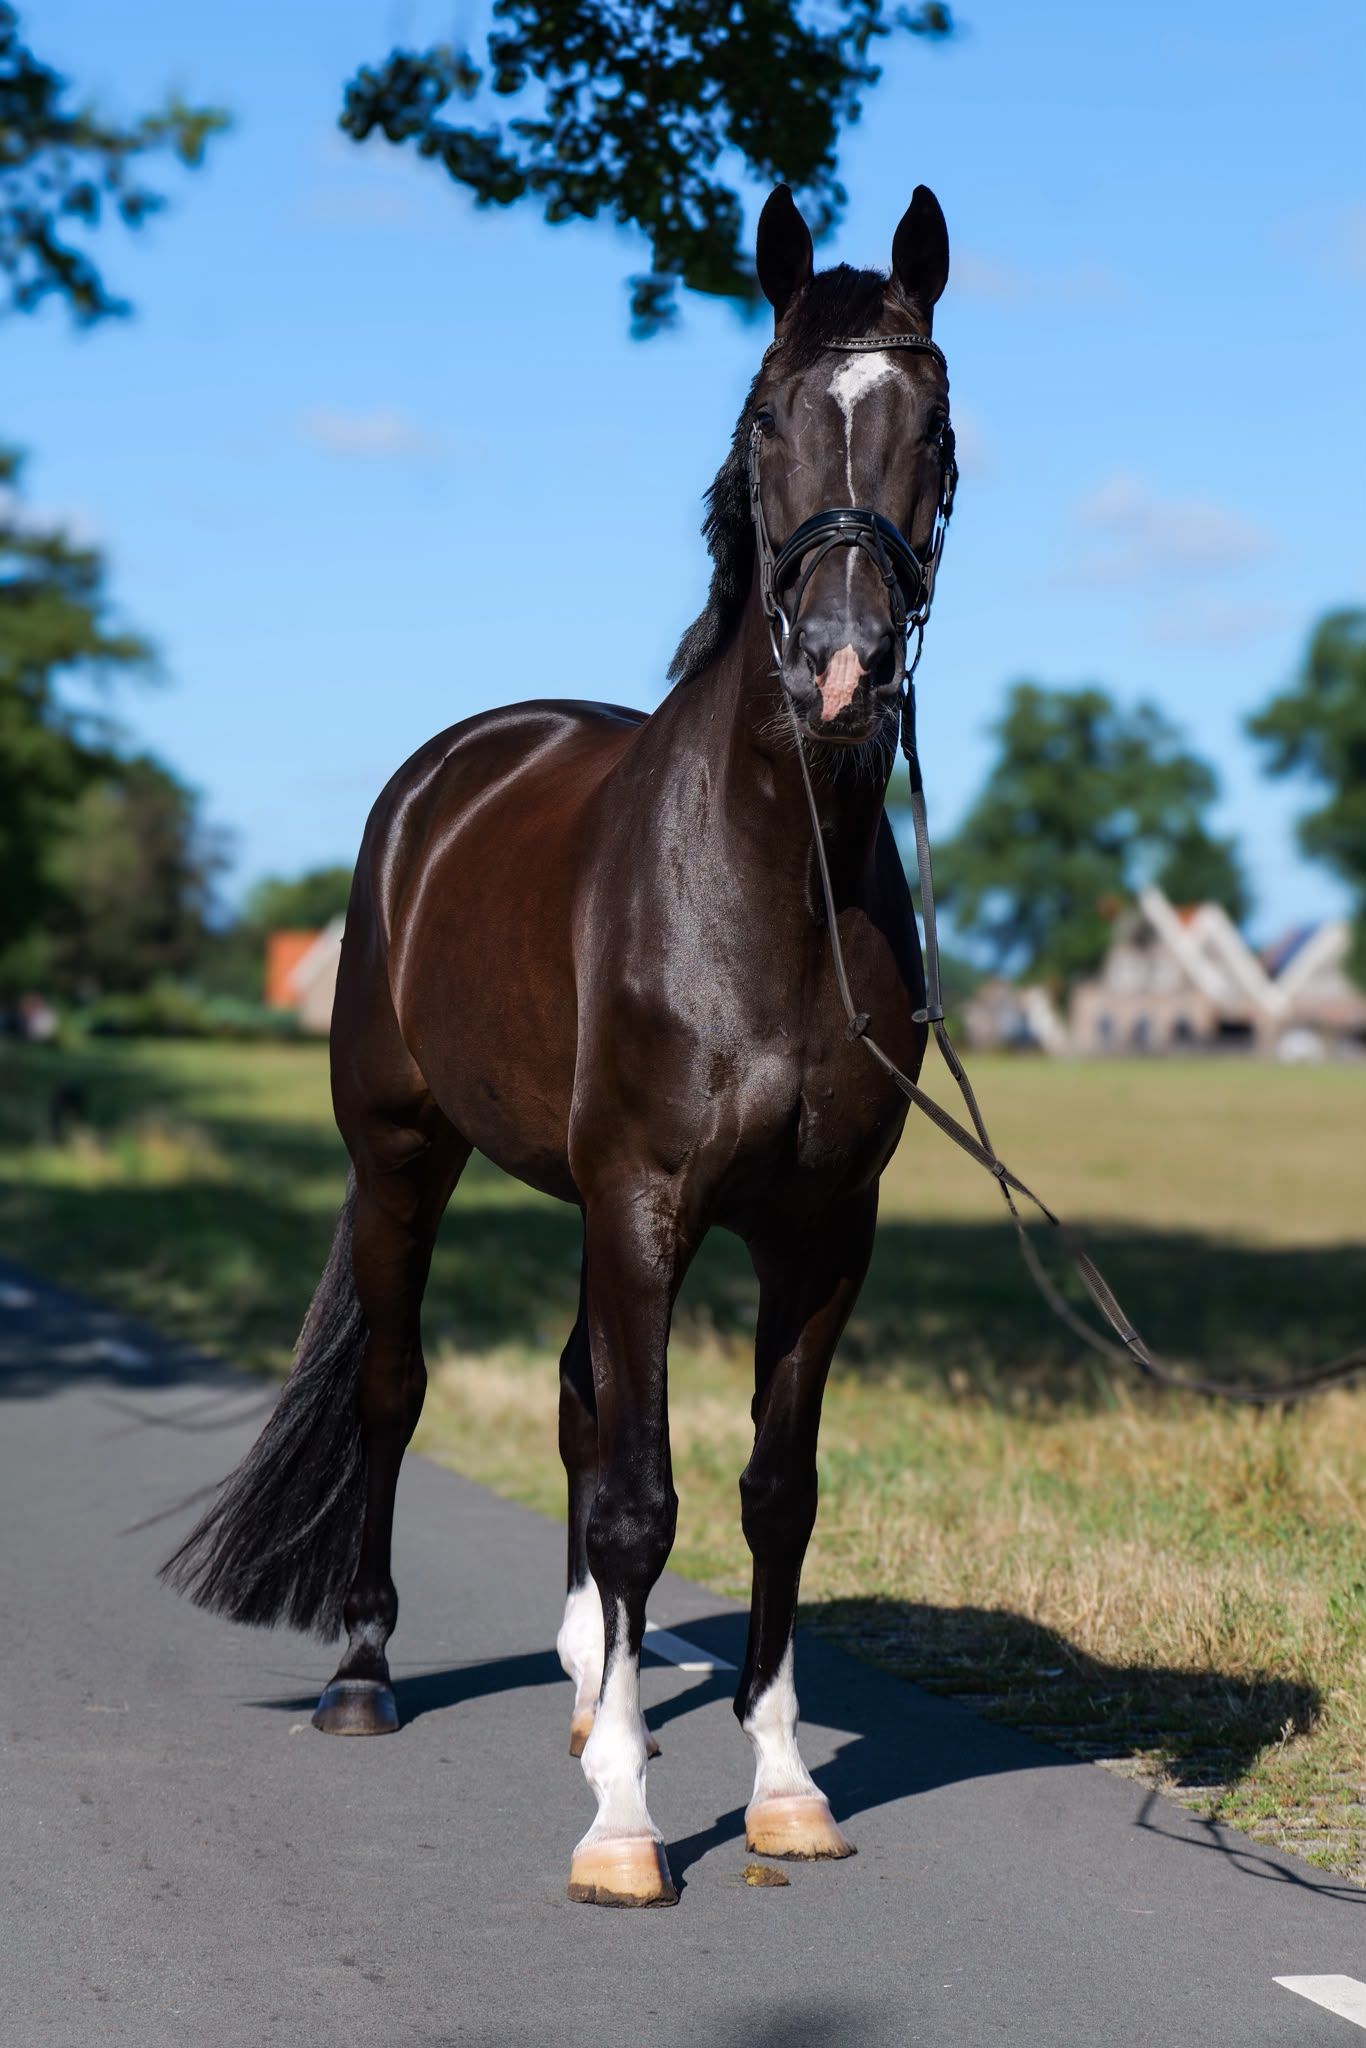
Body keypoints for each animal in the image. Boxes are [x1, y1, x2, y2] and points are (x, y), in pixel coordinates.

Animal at [165, 181, 959, 1909]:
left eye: (932, 426)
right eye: (766, 416)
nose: (842, 669)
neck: (772, 882)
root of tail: (459, 762)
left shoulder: (819, 1232)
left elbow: (773, 1496)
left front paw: (777, 1784)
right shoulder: (644, 1202)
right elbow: (640, 1502)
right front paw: (623, 1828)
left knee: (582, 1397)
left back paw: (601, 1688)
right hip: (408, 1159)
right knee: (397, 1390)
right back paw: (370, 1676)